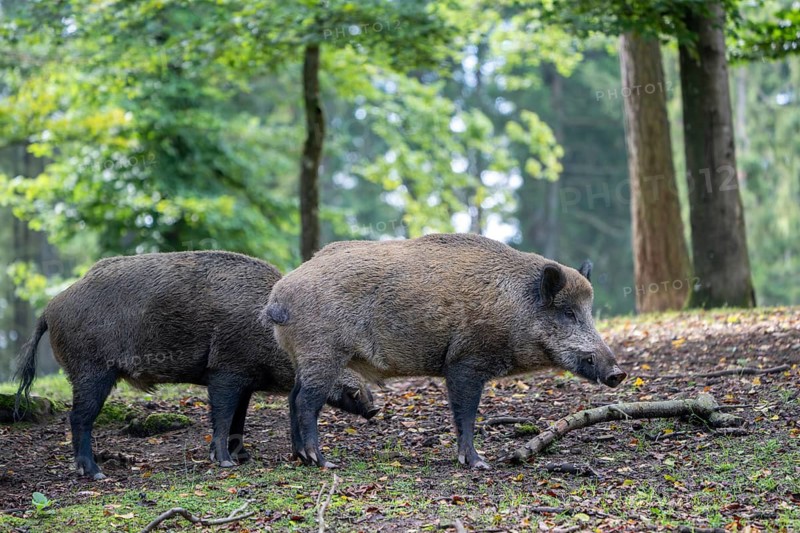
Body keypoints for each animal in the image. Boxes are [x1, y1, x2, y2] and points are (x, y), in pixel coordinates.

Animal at [14, 251, 377, 480]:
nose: (374, 408)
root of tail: (50, 308)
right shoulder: (225, 372)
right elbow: (223, 416)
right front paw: (227, 464)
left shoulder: (245, 381)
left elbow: (239, 419)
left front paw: (243, 458)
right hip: (92, 371)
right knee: (78, 418)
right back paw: (95, 473)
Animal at [265, 233, 626, 469]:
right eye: (568, 313)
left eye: (589, 311)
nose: (618, 373)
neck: (515, 309)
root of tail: (278, 298)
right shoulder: (465, 362)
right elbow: (465, 413)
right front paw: (479, 464)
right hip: (322, 352)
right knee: (305, 401)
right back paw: (322, 462)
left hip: (303, 355)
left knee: (292, 397)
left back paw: (301, 458)